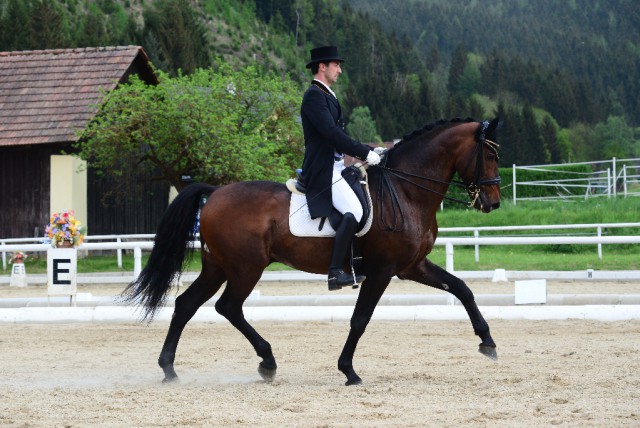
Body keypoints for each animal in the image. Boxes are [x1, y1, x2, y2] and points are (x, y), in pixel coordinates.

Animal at [124, 116, 504, 384]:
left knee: (186, 305)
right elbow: (360, 319)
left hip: (217, 266)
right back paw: (267, 361)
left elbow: (462, 288)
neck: (405, 189)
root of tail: (214, 193)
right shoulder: (382, 270)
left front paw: (488, 342)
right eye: (488, 154)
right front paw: (348, 370)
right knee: (228, 306)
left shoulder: (412, 265)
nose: (493, 202)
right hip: (245, 268)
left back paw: (170, 369)